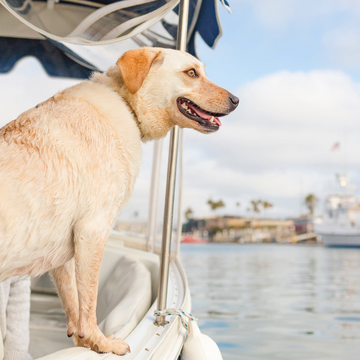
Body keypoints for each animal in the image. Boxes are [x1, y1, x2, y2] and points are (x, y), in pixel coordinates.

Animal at [0, 47, 238, 354]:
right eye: (191, 73)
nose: (237, 100)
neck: (126, 102)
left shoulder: (62, 248)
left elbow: (72, 299)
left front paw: (82, 342)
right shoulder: (92, 229)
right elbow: (88, 301)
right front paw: (100, 341)